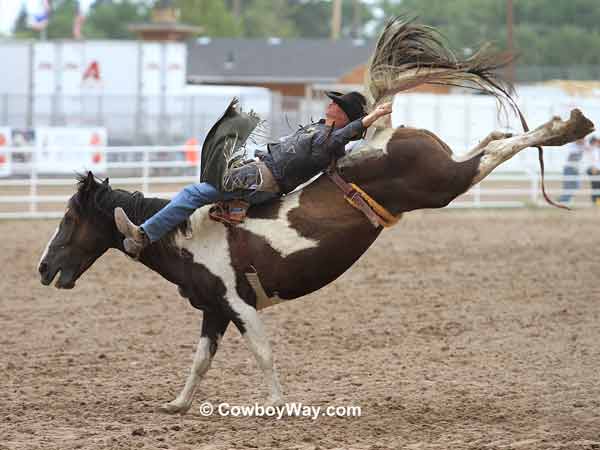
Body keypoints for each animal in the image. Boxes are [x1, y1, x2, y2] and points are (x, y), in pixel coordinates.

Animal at [38, 17, 596, 414]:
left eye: (68, 221)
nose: (43, 268)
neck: (188, 236)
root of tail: (378, 132)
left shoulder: (238, 304)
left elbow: (261, 353)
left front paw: (275, 404)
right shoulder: (213, 310)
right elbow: (199, 363)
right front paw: (177, 404)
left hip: (440, 184)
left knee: (492, 156)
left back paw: (567, 124)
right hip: (441, 172)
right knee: (486, 148)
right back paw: (525, 128)